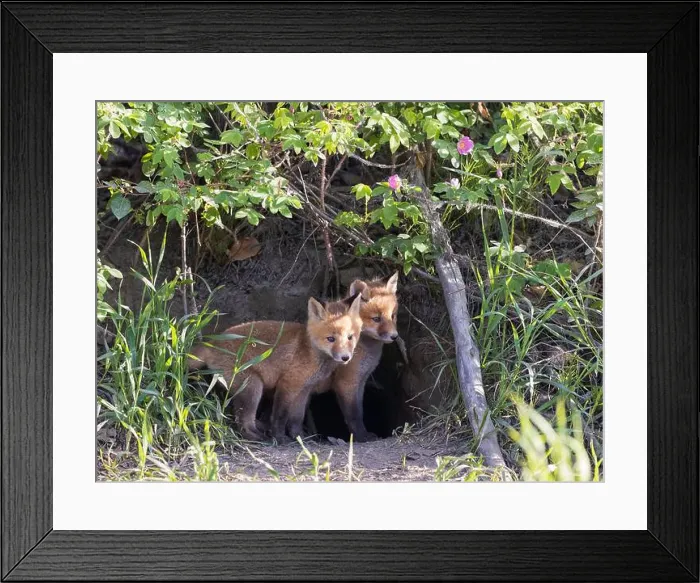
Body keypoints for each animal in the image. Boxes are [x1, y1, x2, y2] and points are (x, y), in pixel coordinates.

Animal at [188, 293, 363, 443]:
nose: (345, 357)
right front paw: (280, 437)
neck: (310, 352)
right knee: (243, 422)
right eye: (330, 339)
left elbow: (297, 418)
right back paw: (258, 438)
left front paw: (300, 437)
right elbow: (280, 416)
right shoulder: (287, 384)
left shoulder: (304, 390)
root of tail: (213, 342)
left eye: (350, 337)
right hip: (253, 387)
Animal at [297, 272, 400, 442]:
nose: (394, 336)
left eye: (392, 316)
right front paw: (361, 437)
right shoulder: (346, 383)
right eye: (376, 319)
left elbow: (360, 411)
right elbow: (354, 415)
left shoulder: (361, 382)